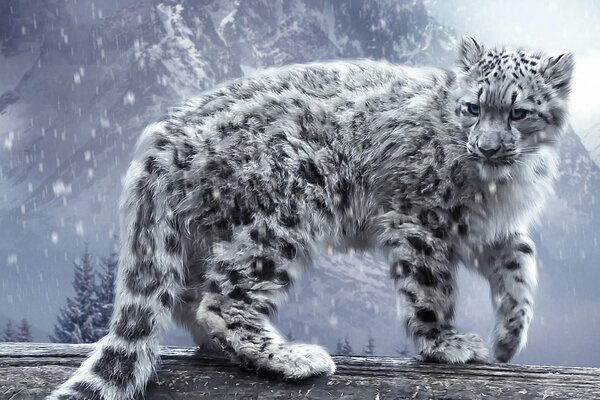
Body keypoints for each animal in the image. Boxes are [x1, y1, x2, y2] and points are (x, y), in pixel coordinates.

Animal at [49, 36, 576, 398]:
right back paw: (293, 358)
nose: (486, 147)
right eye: (472, 107)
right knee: (220, 300)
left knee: (186, 295)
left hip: (204, 233)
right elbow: (430, 287)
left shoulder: (493, 229)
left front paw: (509, 339)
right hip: (276, 222)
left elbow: (520, 264)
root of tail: (165, 137)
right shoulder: (421, 220)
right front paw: (444, 343)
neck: (501, 185)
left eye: (519, 112)